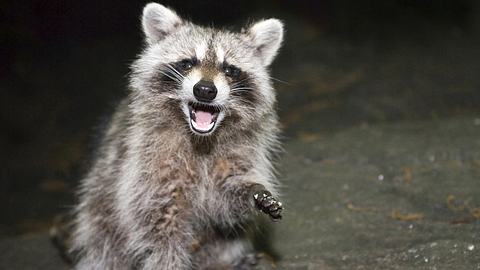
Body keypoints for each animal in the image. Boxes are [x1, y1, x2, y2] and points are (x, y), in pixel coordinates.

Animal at [69, 2, 284, 270]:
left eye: (229, 69)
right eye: (187, 63)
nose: (205, 90)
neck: (200, 139)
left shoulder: (243, 151)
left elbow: (225, 202)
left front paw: (253, 193)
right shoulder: (146, 163)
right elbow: (158, 227)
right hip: (98, 206)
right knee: (103, 242)